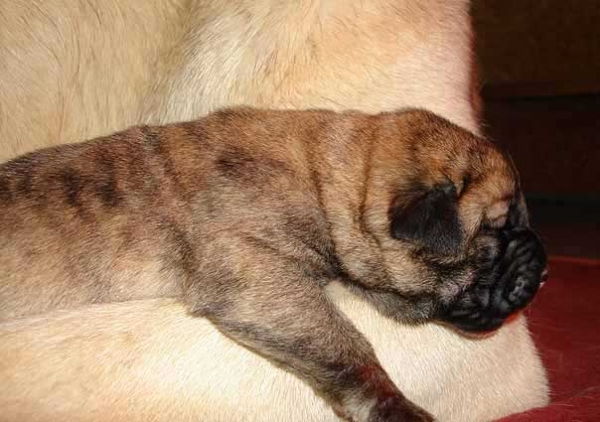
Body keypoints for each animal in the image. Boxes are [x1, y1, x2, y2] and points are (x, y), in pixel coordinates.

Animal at [0, 107, 548, 420]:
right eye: (495, 238)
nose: (542, 268)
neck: (327, 179)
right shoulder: (257, 273)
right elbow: (347, 347)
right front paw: (396, 407)